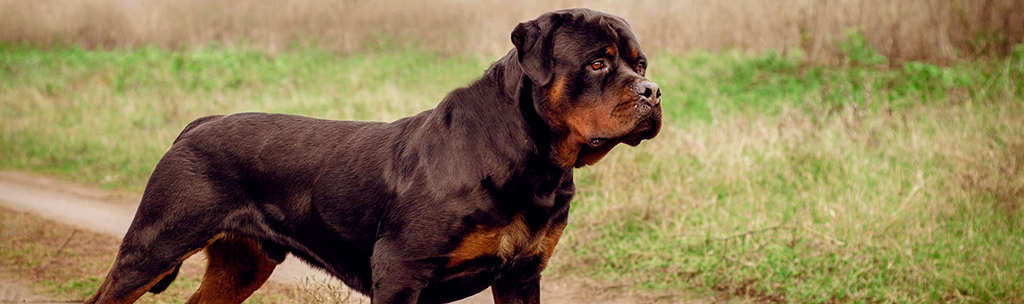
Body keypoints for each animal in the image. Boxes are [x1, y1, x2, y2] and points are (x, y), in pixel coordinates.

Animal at [88, 7, 663, 302]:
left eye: (640, 63)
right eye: (597, 63)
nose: (653, 92)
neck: (535, 161)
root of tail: (197, 123)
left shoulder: (521, 276)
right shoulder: (400, 270)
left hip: (243, 263)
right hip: (153, 247)